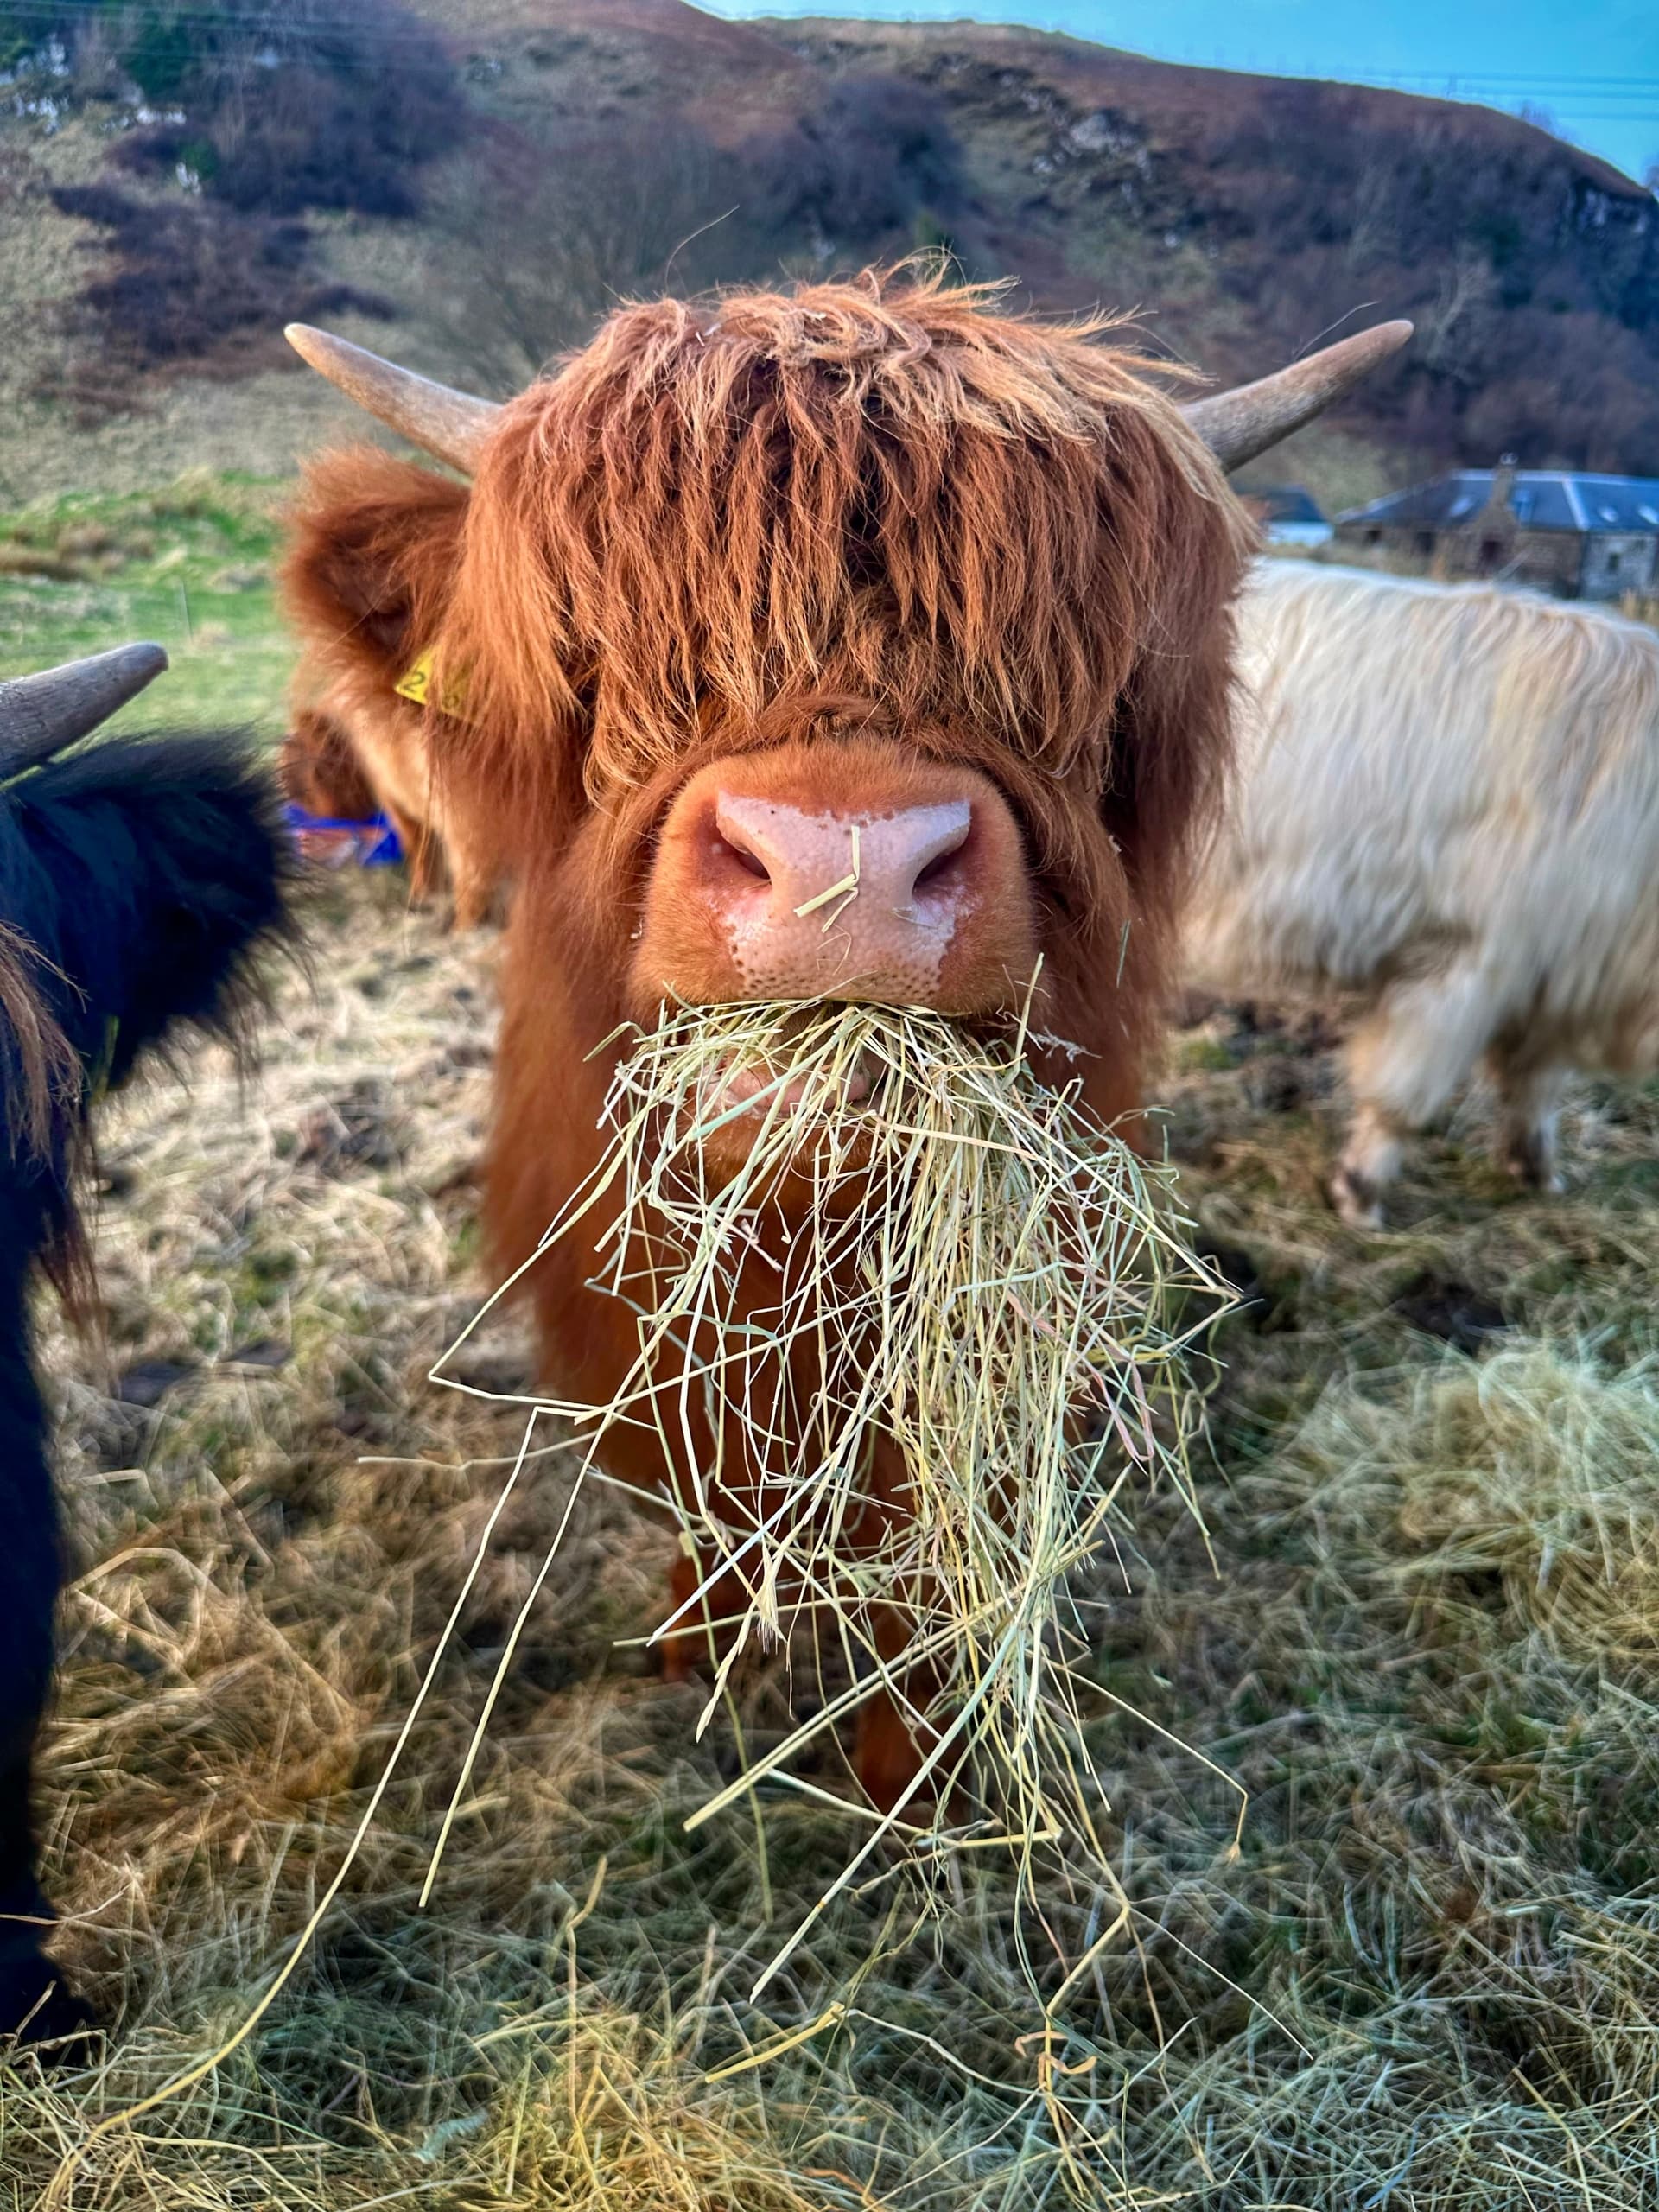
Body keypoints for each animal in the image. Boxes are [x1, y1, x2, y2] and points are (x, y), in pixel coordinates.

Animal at [284, 274, 1408, 1806]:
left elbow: (926, 1587)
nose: (845, 870)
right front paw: (698, 1654)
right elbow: (701, 1511)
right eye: (595, 652)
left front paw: (907, 1774)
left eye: (1089, 682)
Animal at [1186, 558, 1659, 1225]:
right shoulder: (1463, 961)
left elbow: (1534, 1086)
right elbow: (1404, 1093)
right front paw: (1360, 1195)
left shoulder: (1542, 975)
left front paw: (1538, 1171)